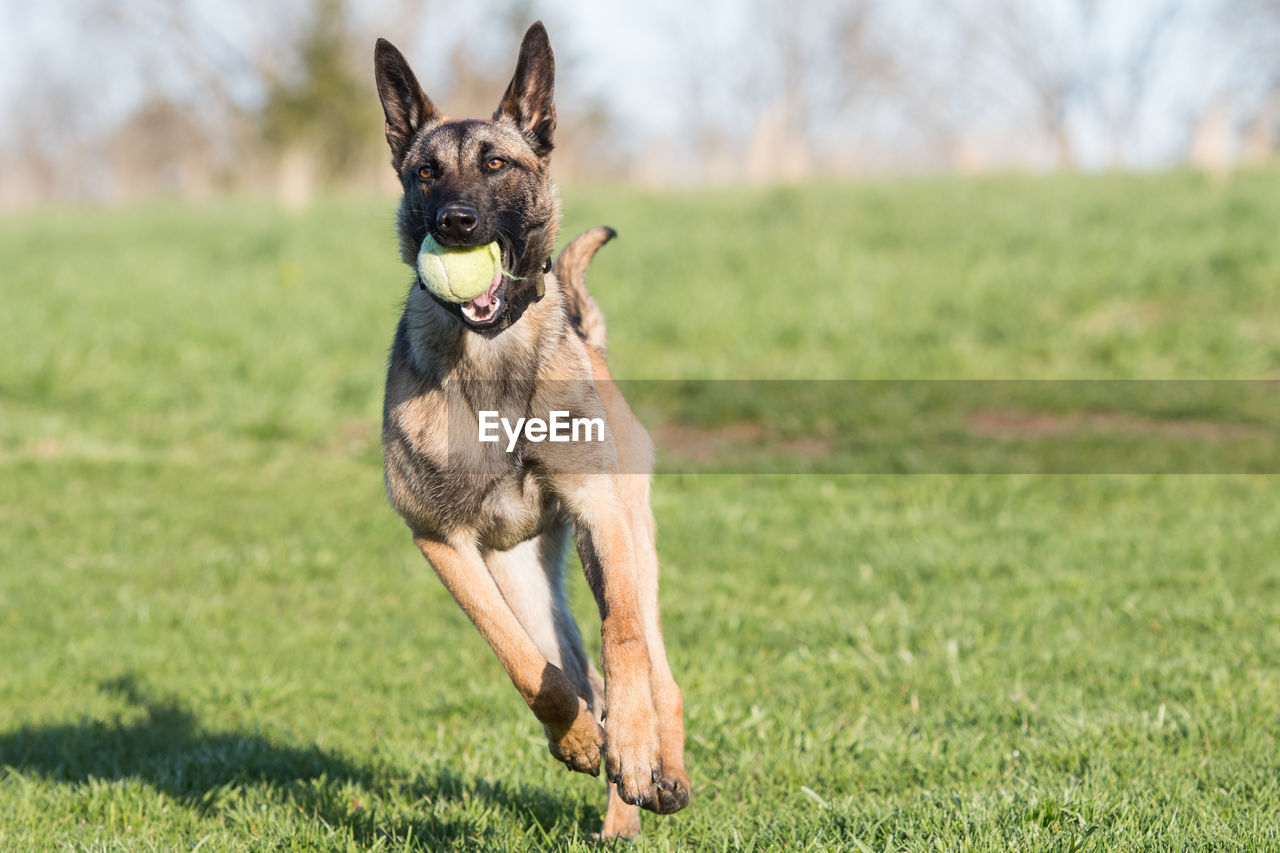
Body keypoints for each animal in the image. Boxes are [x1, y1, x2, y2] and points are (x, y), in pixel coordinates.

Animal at [371, 23, 691, 840]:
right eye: (425, 173)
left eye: (496, 163)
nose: (455, 224)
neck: (490, 357)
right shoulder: (443, 542)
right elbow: (522, 663)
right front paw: (576, 738)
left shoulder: (601, 513)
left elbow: (624, 639)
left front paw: (635, 750)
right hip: (524, 574)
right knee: (577, 672)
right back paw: (615, 799)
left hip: (628, 540)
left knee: (653, 668)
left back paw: (658, 773)